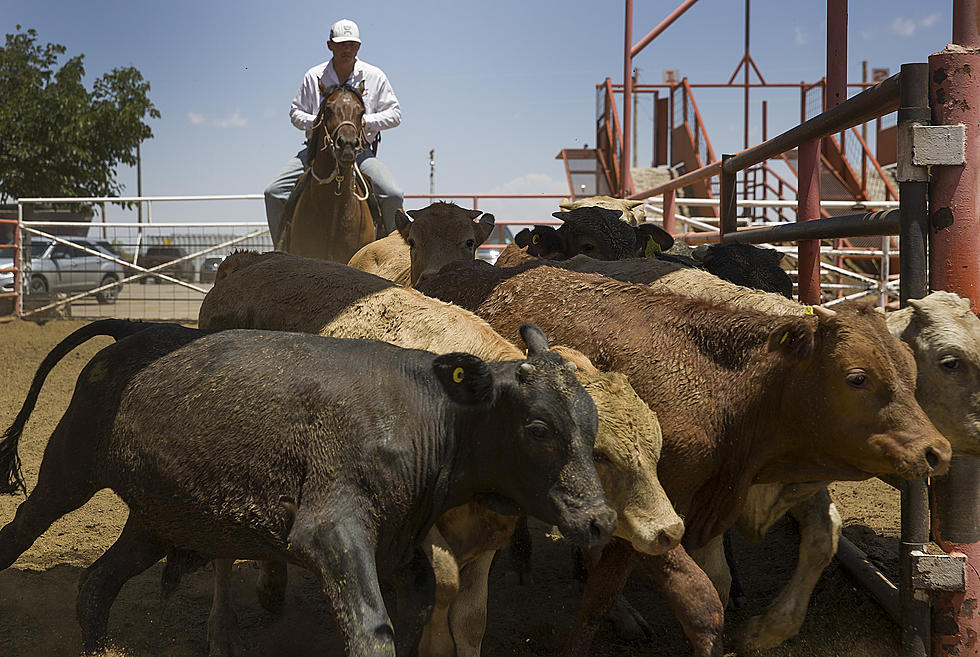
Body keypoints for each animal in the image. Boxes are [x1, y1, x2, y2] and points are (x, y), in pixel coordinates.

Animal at [0, 320, 612, 656]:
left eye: (592, 424)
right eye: (538, 429)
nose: (600, 521)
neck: (424, 413)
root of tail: (136, 329)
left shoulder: (400, 548)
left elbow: (412, 616)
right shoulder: (331, 533)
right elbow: (371, 631)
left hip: (156, 522)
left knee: (97, 584)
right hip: (67, 472)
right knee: (21, 531)